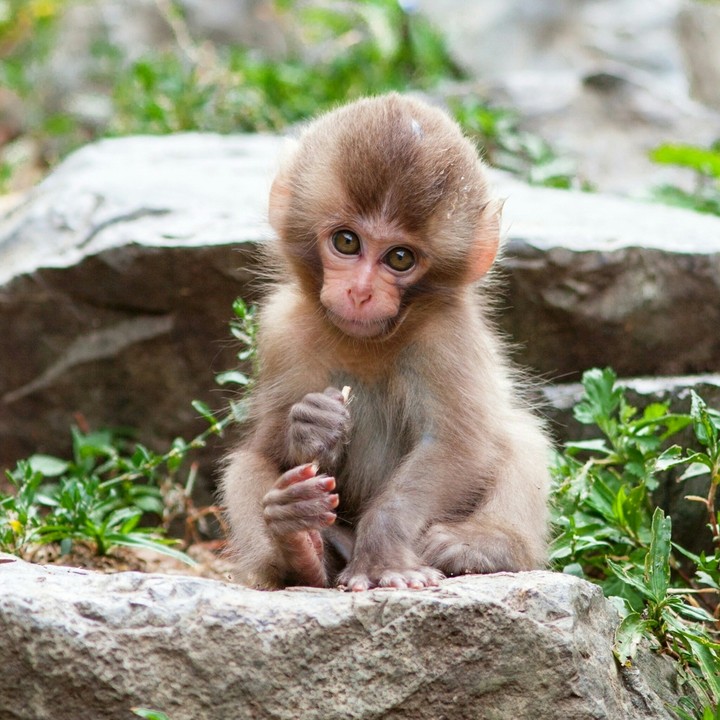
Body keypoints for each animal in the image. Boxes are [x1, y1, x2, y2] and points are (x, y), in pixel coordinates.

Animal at [219, 93, 551, 591]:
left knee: (519, 436)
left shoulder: (446, 339)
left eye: (399, 258)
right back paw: (299, 547)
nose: (360, 292)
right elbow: (267, 449)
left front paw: (383, 557)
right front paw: (310, 426)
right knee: (246, 465)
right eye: (346, 242)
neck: (368, 343)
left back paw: (484, 545)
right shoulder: (282, 330)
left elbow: (456, 445)